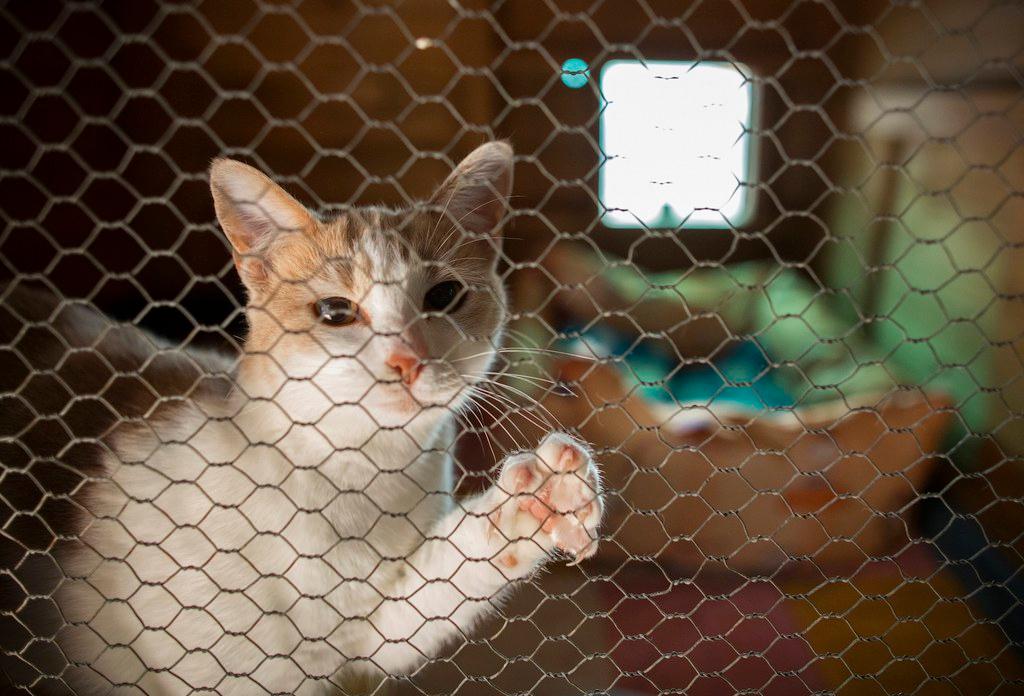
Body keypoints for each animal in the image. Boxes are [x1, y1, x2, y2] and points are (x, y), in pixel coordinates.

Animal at [0, 142, 602, 696]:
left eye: (444, 295)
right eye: (336, 312)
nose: (407, 359)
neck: (357, 480)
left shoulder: (374, 627)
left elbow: (429, 595)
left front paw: (540, 498)